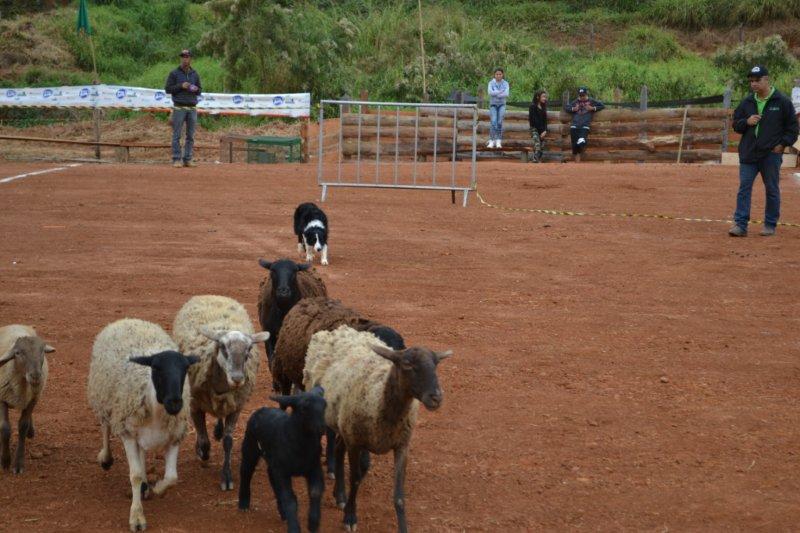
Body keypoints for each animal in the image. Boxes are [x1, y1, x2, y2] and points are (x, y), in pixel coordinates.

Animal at [0, 324, 54, 474]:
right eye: (18, 353)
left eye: (42, 351)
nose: (35, 376)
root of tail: (16, 324)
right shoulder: (2, 398)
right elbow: (5, 428)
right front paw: (5, 460)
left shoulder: (32, 399)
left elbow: (22, 426)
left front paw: (18, 464)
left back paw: (31, 430)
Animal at [172, 296, 268, 490]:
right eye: (222, 347)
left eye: (248, 350)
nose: (238, 378)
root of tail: (211, 295)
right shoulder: (195, 405)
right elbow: (203, 439)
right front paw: (202, 455)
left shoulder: (236, 407)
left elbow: (228, 441)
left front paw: (227, 476)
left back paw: (218, 430)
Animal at [304, 324, 450, 532]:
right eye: (407, 364)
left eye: (436, 364)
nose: (436, 397)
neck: (378, 397)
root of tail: (340, 329)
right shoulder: (356, 443)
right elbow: (356, 479)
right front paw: (350, 517)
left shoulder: (401, 446)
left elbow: (399, 495)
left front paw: (403, 527)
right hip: (341, 423)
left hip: (344, 423)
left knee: (339, 449)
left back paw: (339, 495)